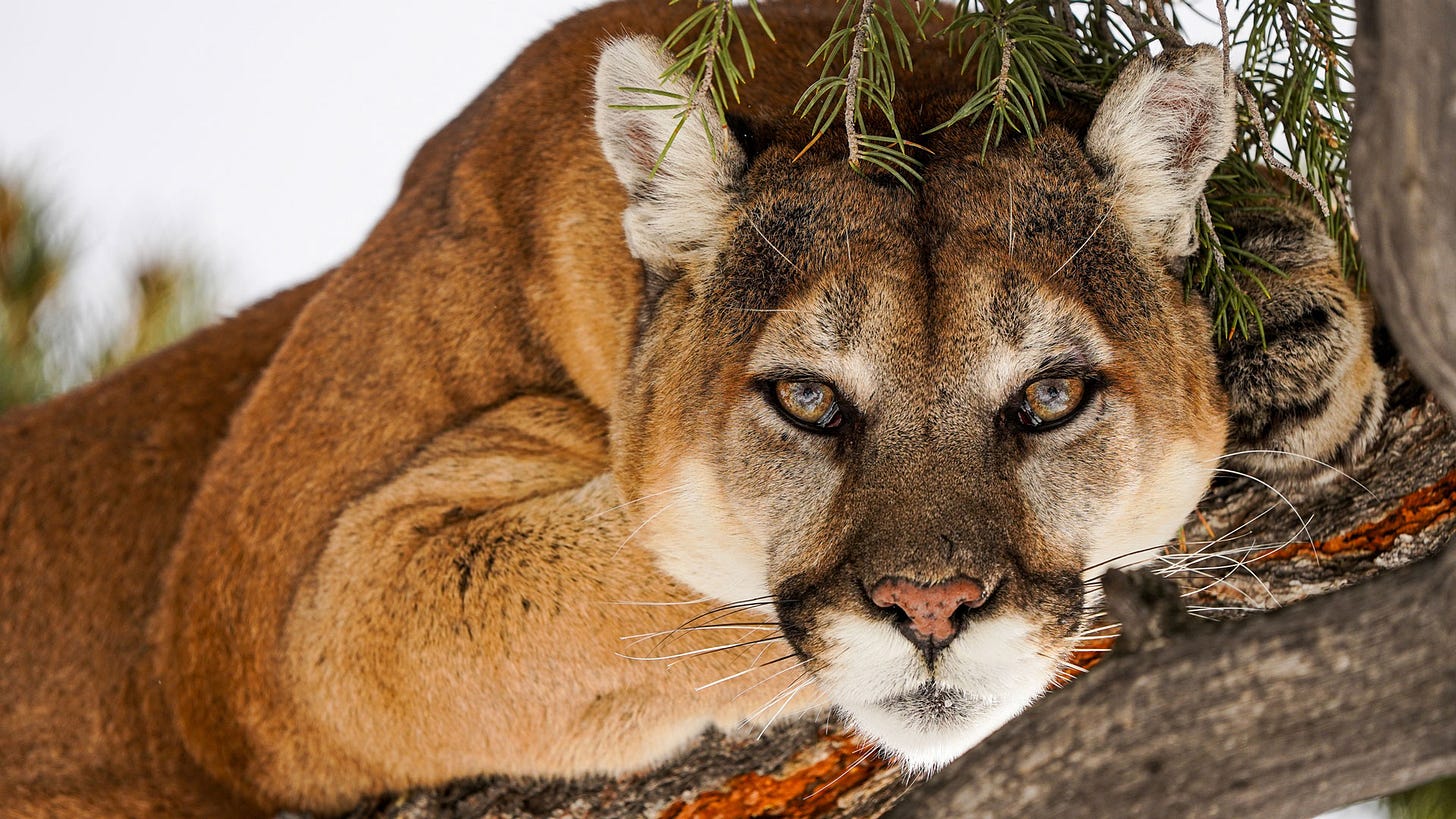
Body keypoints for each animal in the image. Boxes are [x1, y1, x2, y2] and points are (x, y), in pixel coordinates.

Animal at [0, 0, 1383, 815]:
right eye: (807, 398)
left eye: (1049, 396)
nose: (934, 609)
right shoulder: (270, 607)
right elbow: (647, 584)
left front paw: (1288, 316)